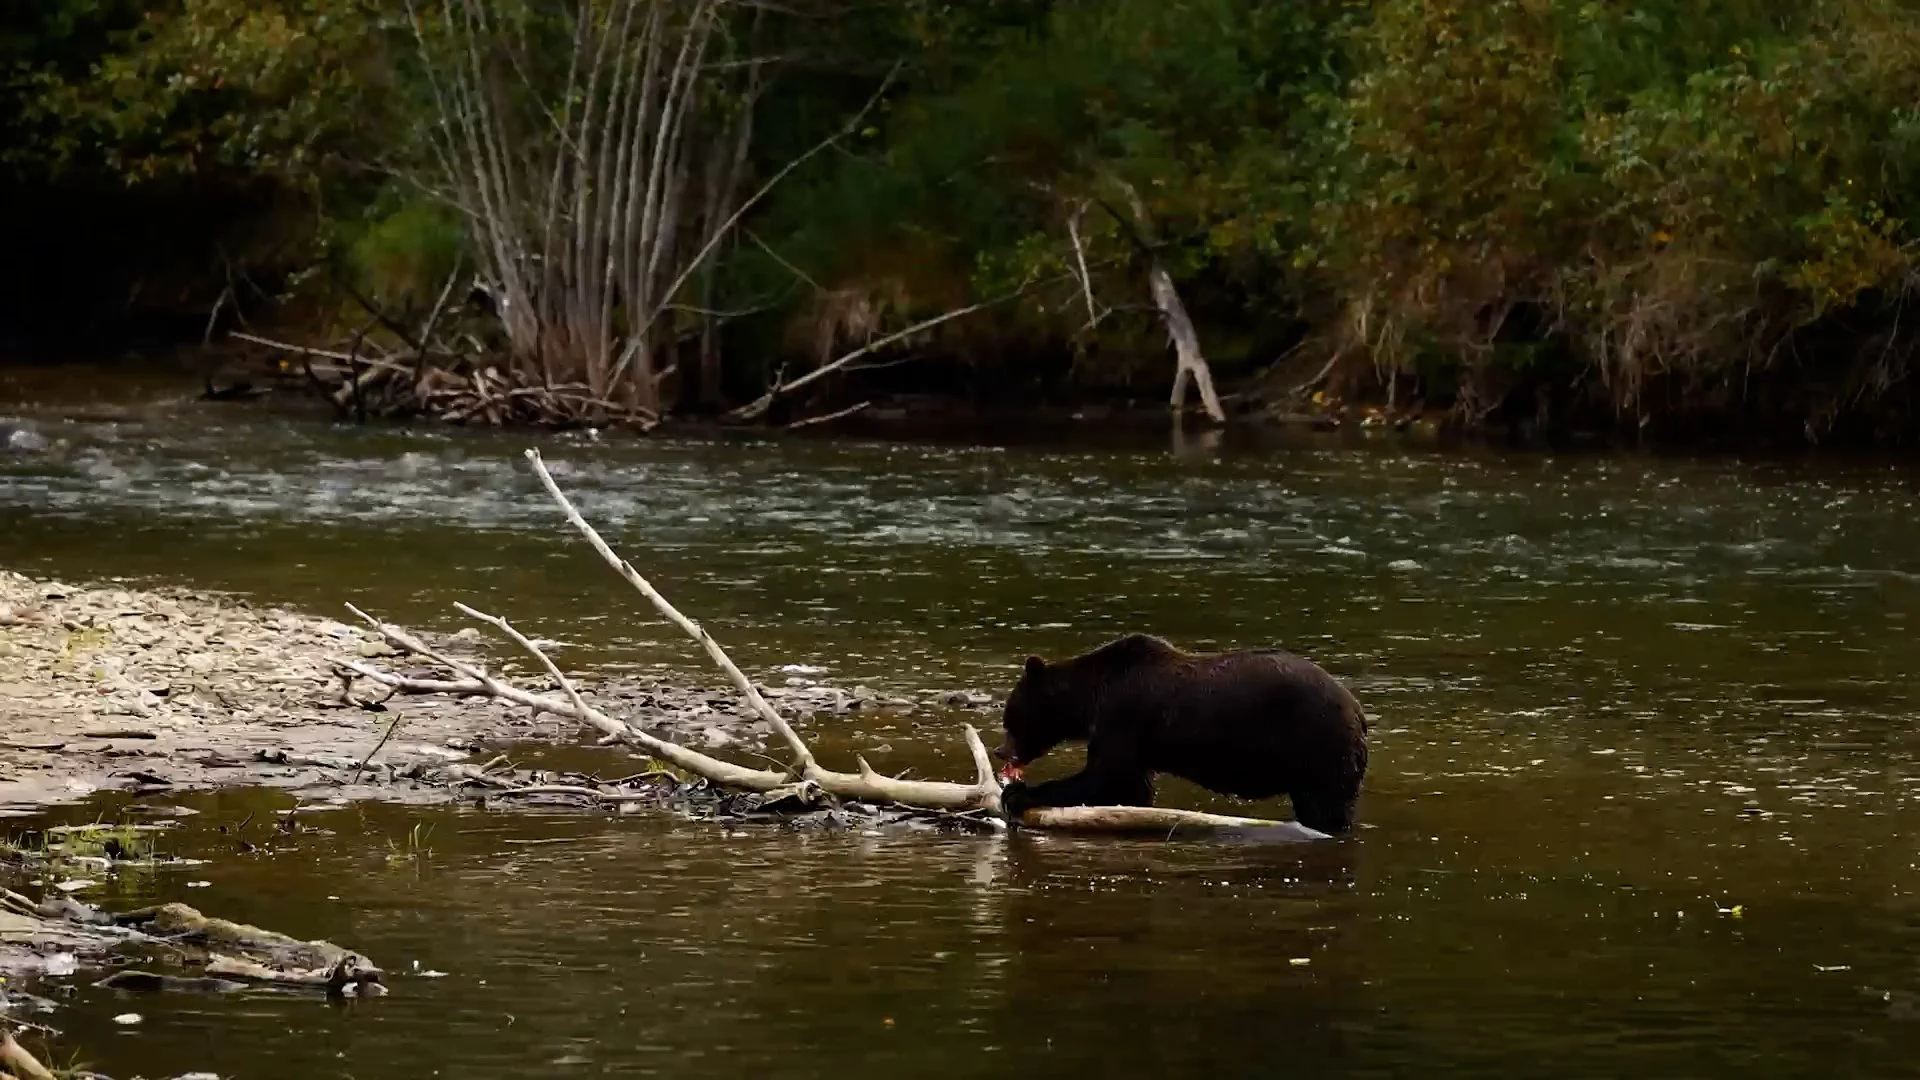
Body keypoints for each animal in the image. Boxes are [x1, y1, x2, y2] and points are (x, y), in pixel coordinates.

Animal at [991, 633, 1369, 834]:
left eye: (1011, 717)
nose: (999, 751)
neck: (1091, 699)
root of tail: (1357, 709)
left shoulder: (1125, 717)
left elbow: (1110, 778)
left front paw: (1018, 793)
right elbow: (1132, 788)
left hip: (1318, 745)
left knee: (1327, 806)